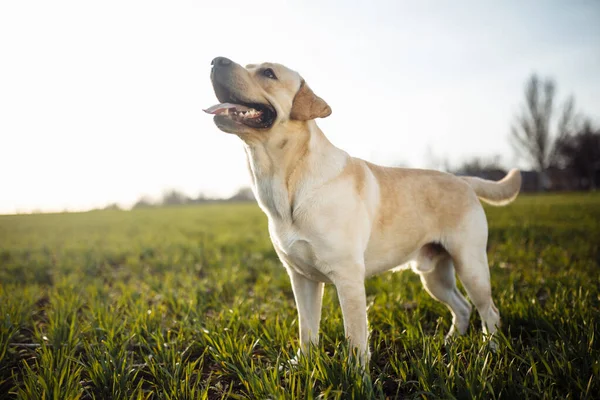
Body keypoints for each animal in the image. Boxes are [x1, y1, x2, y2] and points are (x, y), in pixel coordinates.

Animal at [205, 57, 520, 366]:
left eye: (268, 73)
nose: (216, 60)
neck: (286, 182)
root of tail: (463, 179)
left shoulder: (348, 277)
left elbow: (355, 336)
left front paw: (356, 374)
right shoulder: (301, 278)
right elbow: (306, 328)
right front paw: (303, 363)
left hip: (471, 265)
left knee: (489, 311)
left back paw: (489, 350)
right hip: (434, 276)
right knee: (463, 307)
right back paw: (451, 342)